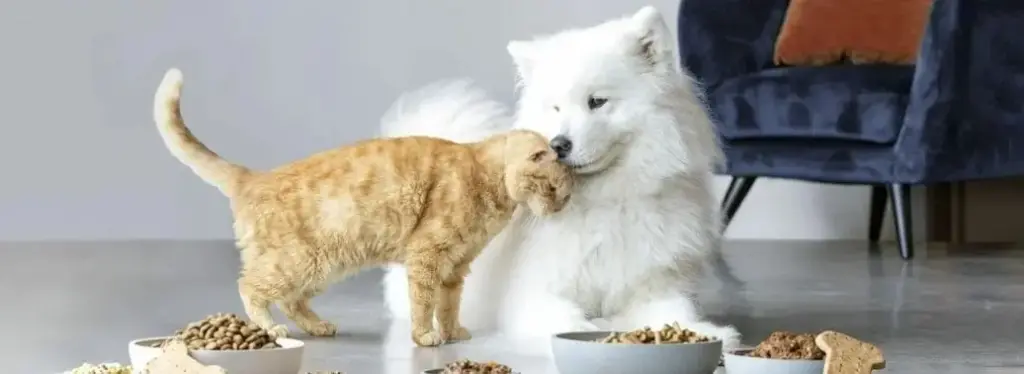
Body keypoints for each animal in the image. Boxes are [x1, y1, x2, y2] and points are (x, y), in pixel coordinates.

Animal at [151, 68, 573, 344]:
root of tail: (253, 177)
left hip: (319, 269)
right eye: (552, 187)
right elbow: (424, 303)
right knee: (250, 287)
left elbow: (450, 304)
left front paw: (453, 332)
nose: (559, 208)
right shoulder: (427, 257)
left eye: (567, 195)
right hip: (296, 262)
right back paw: (268, 329)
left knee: (290, 300)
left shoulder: (456, 268)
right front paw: (426, 336)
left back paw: (318, 327)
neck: (486, 178)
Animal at [380, 5, 741, 350]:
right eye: (555, 108)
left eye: (597, 101)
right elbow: (567, 320)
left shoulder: (655, 285)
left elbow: (676, 314)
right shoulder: (534, 294)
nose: (557, 145)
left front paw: (710, 333)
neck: (605, 199)